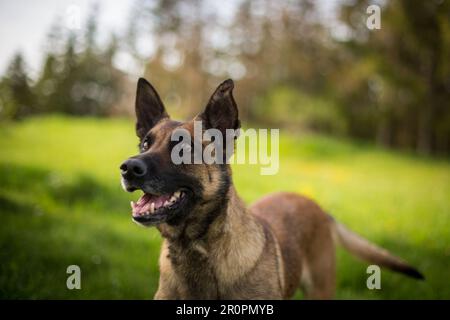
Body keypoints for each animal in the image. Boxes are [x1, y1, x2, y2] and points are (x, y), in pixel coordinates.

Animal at [119, 77, 422, 300]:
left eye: (183, 149)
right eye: (145, 144)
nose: (128, 168)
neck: (195, 249)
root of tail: (314, 204)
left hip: (320, 290)